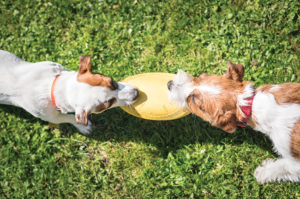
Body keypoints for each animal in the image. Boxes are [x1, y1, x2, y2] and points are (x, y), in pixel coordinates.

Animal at [0, 49, 138, 134]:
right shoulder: (50, 117)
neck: (52, 87)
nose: (136, 93)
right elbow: (69, 118)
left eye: (112, 82)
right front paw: (83, 126)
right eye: (108, 104)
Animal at [168, 61, 300, 184]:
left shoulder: (294, 159)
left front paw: (262, 172)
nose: (169, 84)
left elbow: (284, 166)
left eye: (194, 101)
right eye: (201, 76)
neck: (251, 104)